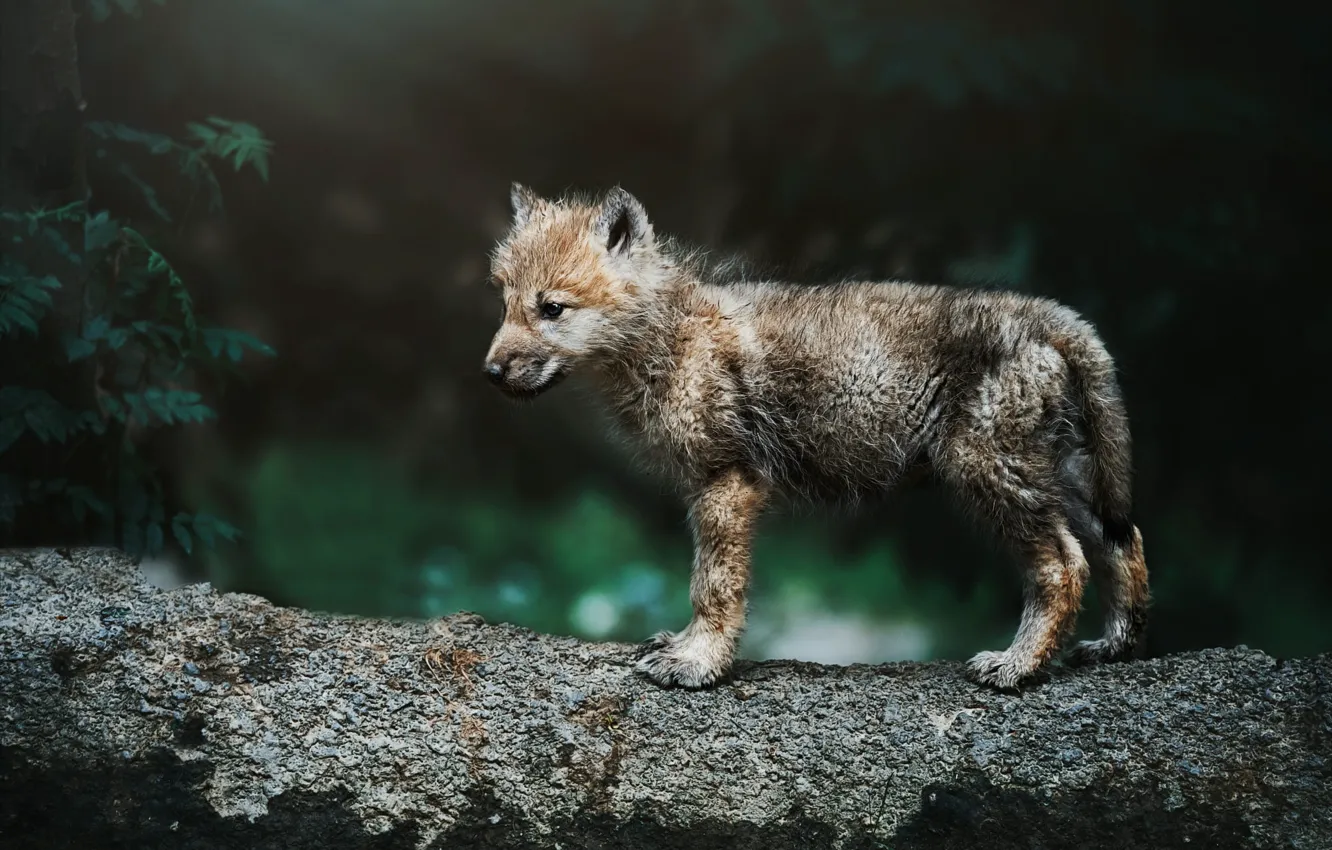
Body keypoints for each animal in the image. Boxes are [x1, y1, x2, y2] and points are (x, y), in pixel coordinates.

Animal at [482, 183, 1149, 690]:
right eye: (505, 302)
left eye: (552, 308)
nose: (489, 372)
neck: (669, 337)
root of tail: (1047, 315)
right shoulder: (709, 487)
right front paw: (686, 647)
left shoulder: (727, 483)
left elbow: (713, 584)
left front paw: (697, 663)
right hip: (1061, 476)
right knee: (1122, 541)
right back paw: (1112, 648)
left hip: (991, 472)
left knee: (1063, 565)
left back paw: (1016, 666)